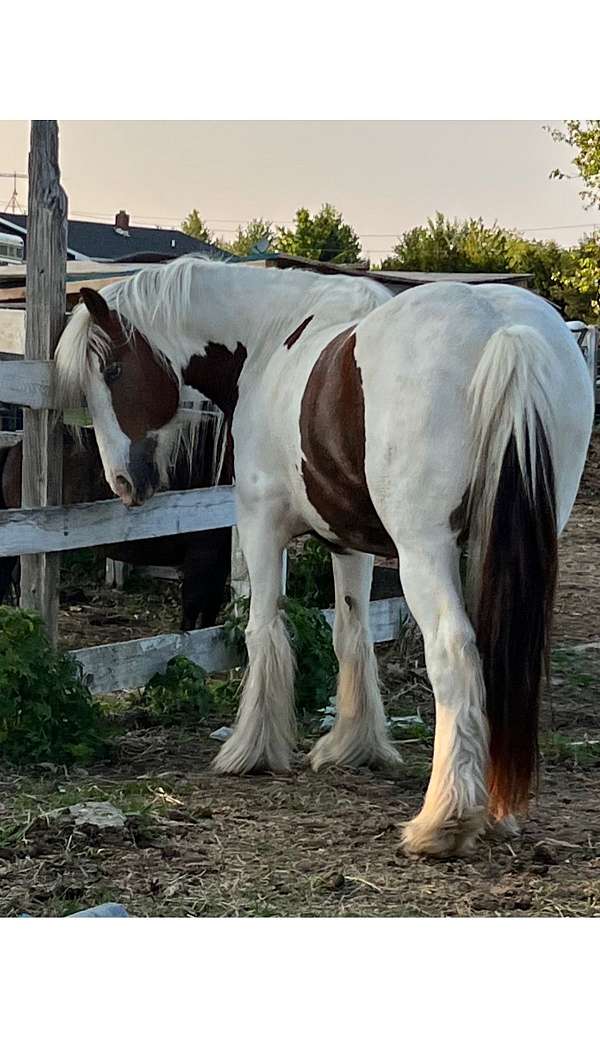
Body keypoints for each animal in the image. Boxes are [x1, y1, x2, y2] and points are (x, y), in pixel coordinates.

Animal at [53, 258, 592, 859]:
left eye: (113, 371)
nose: (124, 482)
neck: (270, 338)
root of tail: (505, 331)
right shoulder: (349, 541)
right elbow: (351, 634)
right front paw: (352, 745)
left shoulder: (260, 523)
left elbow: (263, 629)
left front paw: (251, 749)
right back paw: (496, 809)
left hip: (423, 552)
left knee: (454, 656)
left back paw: (442, 821)